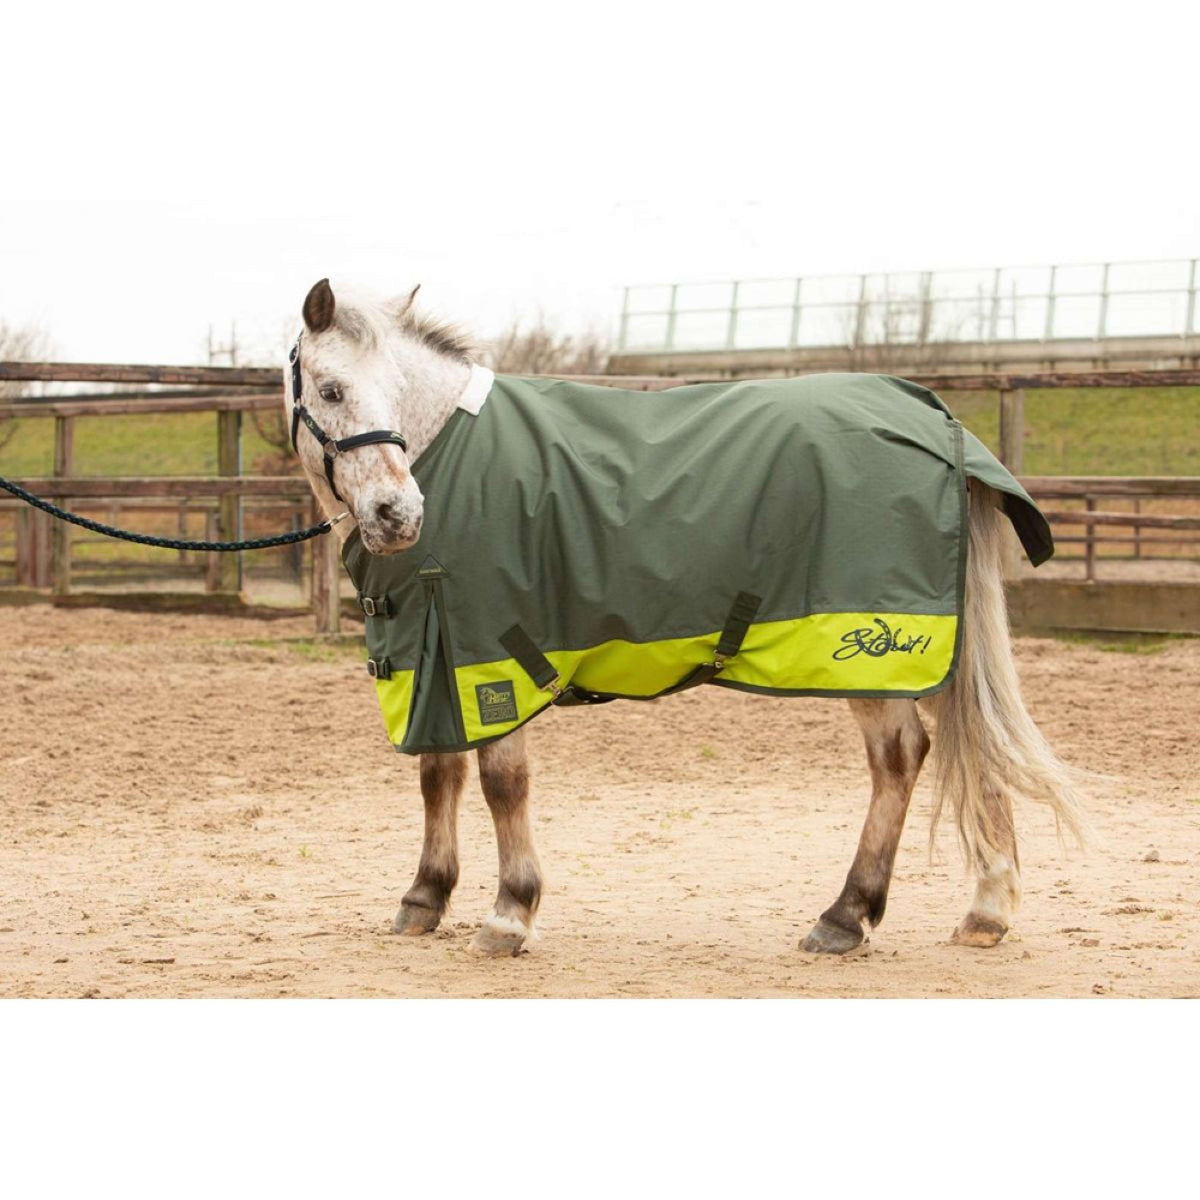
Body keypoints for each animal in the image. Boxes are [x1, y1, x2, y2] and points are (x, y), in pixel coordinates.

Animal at [284, 277, 1086, 957]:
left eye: (392, 390)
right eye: (332, 389)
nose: (398, 514)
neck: (448, 451)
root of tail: (933, 415)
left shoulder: (492, 651)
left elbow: (501, 781)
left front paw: (509, 913)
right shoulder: (434, 650)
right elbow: (439, 772)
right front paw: (424, 898)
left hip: (878, 652)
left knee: (900, 757)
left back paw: (846, 916)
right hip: (936, 650)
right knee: (970, 740)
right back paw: (984, 912)